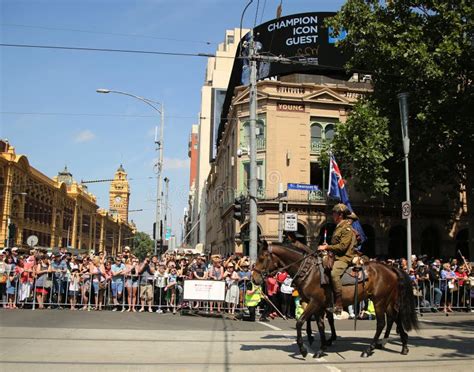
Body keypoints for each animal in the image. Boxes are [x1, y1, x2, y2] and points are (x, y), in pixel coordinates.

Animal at [252, 243, 418, 358]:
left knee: (382, 323)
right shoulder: (318, 305)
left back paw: (369, 349)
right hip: (388, 301)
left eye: (262, 258)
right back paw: (403, 346)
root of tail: (391, 268)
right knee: (395, 317)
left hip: (379, 301)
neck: (309, 271)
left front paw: (303, 349)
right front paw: (321, 348)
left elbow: (300, 322)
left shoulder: (315, 302)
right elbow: (320, 325)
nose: (254, 279)